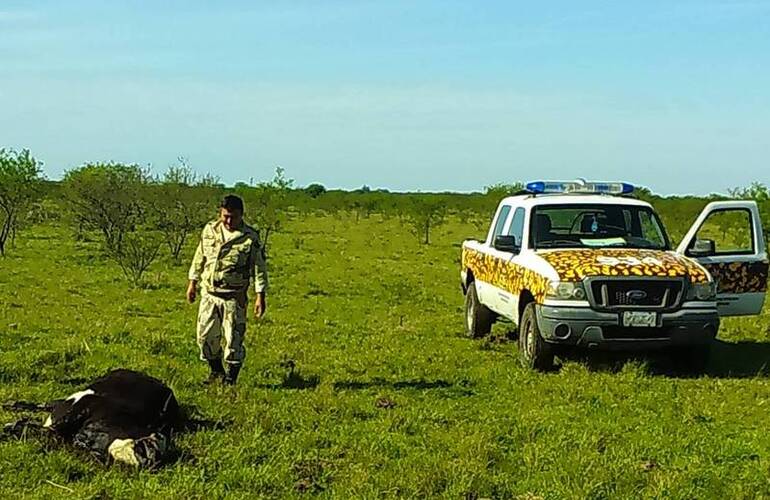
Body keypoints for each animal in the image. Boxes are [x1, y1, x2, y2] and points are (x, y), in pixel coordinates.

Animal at [2, 368, 181, 468]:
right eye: (146, 448)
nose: (152, 458)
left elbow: (47, 431)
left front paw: (11, 427)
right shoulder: (83, 405)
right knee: (44, 404)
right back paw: (10, 405)